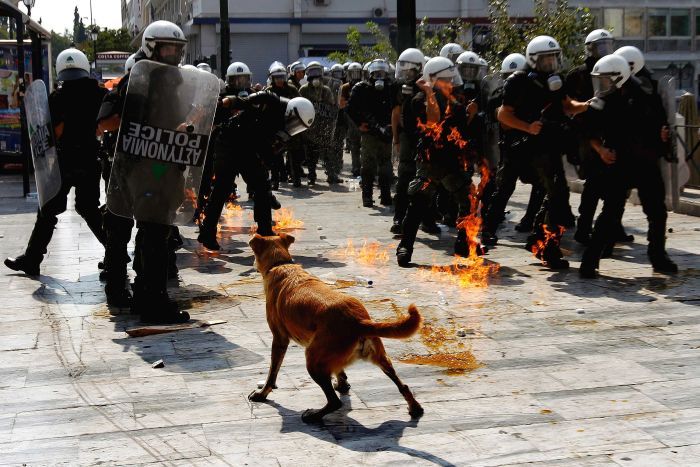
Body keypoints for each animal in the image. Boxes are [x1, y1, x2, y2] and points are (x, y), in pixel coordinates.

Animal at [250, 234, 426, 424]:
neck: (281, 264)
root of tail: (358, 321)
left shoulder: (280, 339)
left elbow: (272, 373)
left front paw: (262, 394)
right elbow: (339, 371)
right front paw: (342, 384)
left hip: (313, 360)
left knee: (334, 402)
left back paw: (314, 415)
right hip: (379, 357)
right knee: (402, 384)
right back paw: (415, 407)